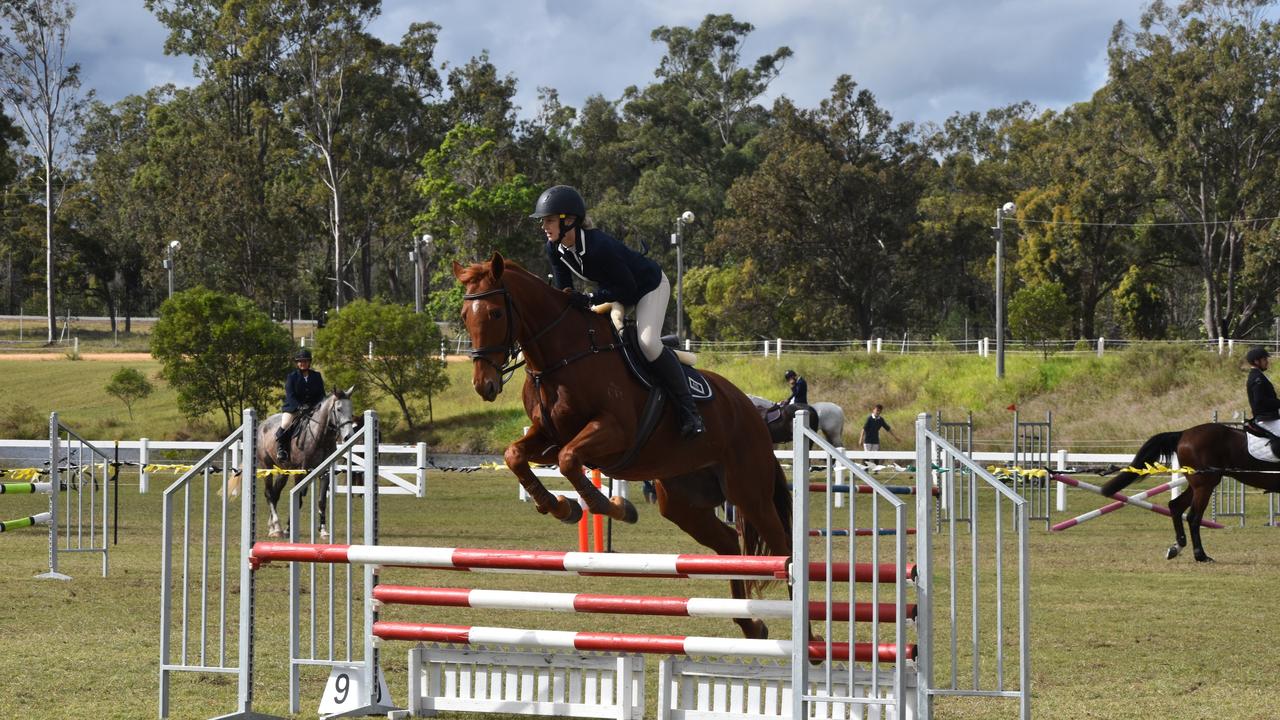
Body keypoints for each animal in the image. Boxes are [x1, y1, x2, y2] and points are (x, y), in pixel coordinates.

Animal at [254, 389, 355, 535]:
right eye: (339, 409)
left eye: (351, 409)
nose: (349, 436)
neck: (321, 438)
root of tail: (263, 424)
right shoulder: (300, 472)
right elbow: (298, 499)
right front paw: (289, 528)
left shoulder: (325, 473)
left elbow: (321, 501)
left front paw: (323, 530)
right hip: (266, 466)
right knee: (268, 493)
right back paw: (277, 526)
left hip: (283, 471)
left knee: (275, 494)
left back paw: (272, 527)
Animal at [455, 253, 793, 638]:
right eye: (464, 316)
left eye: (496, 313)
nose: (485, 385)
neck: (563, 354)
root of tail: (751, 409)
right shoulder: (548, 435)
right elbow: (515, 456)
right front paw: (560, 506)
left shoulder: (614, 432)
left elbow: (569, 460)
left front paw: (611, 505)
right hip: (682, 502)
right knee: (727, 543)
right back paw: (751, 626)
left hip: (749, 492)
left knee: (783, 549)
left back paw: (809, 636)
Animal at [1100, 420, 1280, 561]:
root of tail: (1183, 433)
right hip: (1204, 485)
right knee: (1193, 517)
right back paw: (1200, 555)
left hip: (1199, 485)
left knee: (1176, 506)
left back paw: (1177, 547)